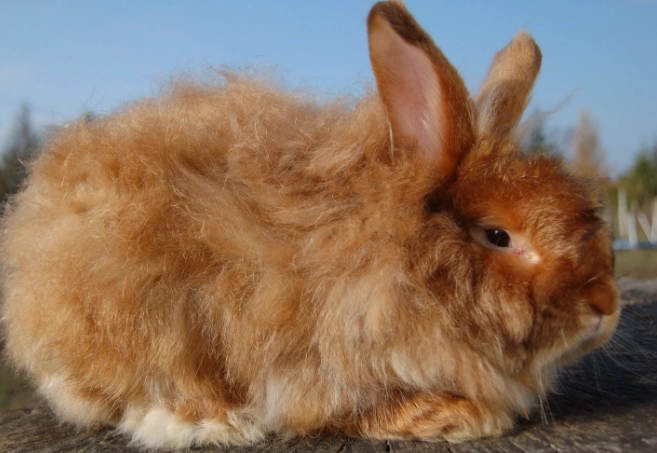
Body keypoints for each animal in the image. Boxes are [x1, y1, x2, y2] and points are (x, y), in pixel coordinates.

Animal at [1, 0, 619, 450]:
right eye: (497, 236)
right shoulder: (320, 370)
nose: (606, 305)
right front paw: (458, 418)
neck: (391, 252)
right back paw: (211, 424)